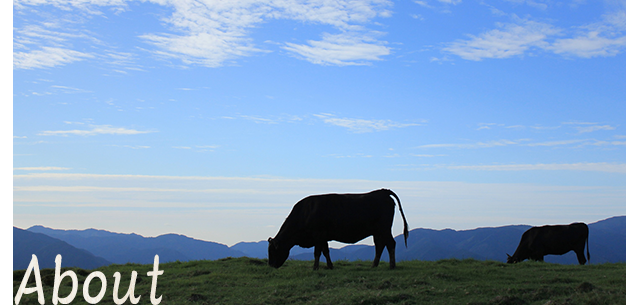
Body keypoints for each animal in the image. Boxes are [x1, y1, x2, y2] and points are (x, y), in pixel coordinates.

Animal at [266, 189, 408, 270]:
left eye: (272, 251)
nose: (271, 265)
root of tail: (383, 191)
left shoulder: (318, 235)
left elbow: (317, 253)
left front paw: (315, 268)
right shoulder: (322, 238)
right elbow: (325, 251)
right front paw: (330, 266)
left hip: (384, 229)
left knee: (390, 244)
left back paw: (392, 266)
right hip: (377, 232)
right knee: (380, 245)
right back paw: (374, 265)